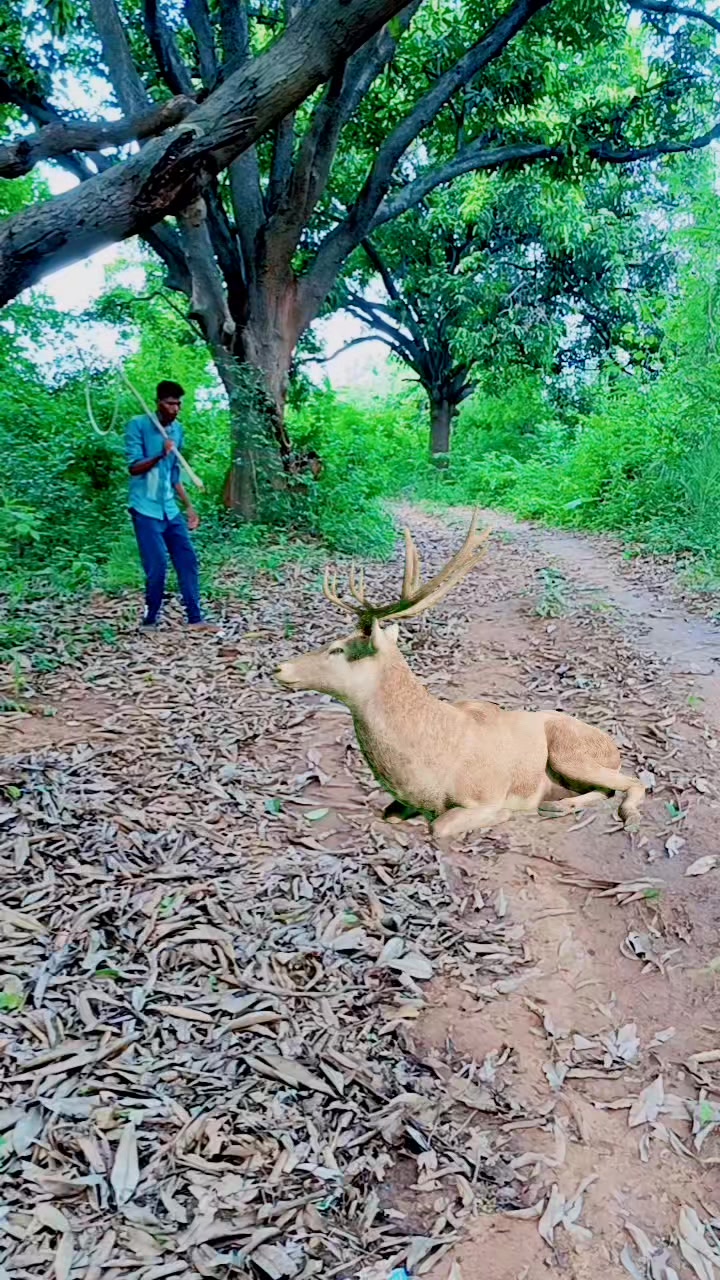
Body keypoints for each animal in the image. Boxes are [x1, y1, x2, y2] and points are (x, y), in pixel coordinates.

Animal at [275, 512, 645, 843]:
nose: (281, 668)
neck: (429, 768)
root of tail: (612, 746)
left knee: (633, 781)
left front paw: (504, 816)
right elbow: (389, 813)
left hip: (571, 752)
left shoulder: (485, 794)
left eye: (337, 648)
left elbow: (439, 827)